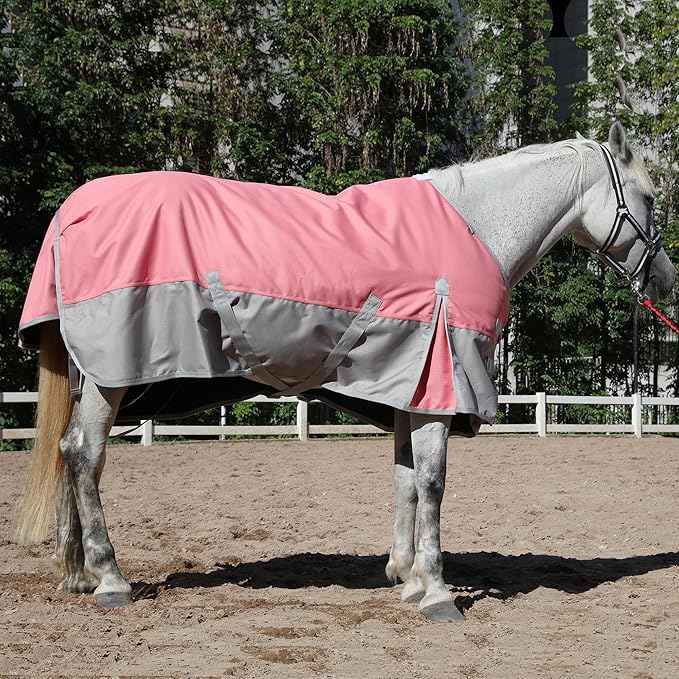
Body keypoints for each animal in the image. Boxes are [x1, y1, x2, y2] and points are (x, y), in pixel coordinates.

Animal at [15, 121, 676, 621]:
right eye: (648, 198)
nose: (666, 279)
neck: (477, 227)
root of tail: (76, 207)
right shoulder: (440, 386)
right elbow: (432, 482)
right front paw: (437, 592)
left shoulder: (410, 386)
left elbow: (407, 480)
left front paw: (407, 575)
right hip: (112, 374)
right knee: (85, 454)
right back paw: (109, 577)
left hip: (94, 375)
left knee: (71, 452)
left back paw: (77, 572)